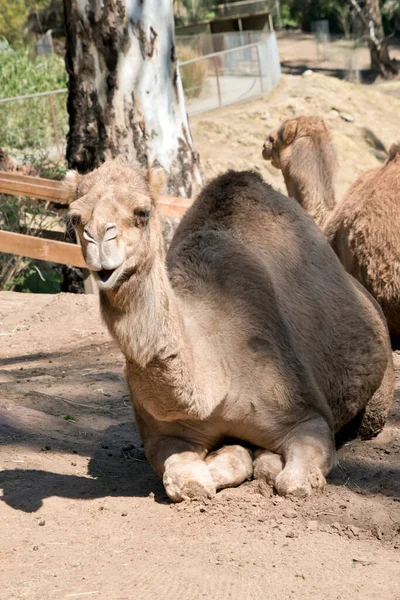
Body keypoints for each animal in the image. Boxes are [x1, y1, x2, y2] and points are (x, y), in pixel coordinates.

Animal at [65, 159, 394, 502]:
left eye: (142, 212)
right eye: (74, 217)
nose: (99, 239)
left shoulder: (308, 416)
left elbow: (294, 481)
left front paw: (267, 464)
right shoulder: (163, 434)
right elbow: (188, 481)